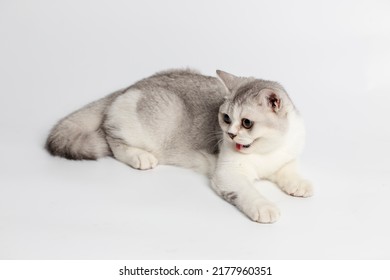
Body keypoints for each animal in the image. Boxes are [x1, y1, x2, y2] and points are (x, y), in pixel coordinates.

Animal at [46, 68, 314, 223]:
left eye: (247, 123)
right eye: (226, 118)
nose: (229, 134)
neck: (267, 152)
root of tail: (129, 86)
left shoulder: (286, 158)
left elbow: (290, 171)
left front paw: (300, 184)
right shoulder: (228, 174)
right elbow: (248, 192)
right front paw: (264, 207)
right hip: (149, 125)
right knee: (110, 137)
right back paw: (139, 157)